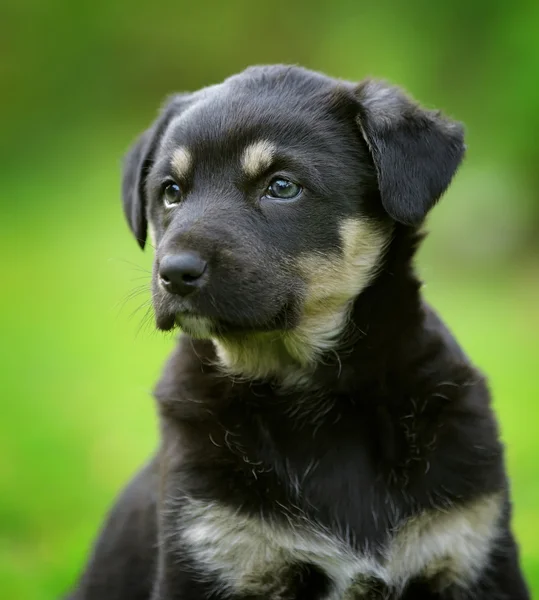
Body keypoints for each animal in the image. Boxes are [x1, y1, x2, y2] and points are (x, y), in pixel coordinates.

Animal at [66, 65, 528, 600]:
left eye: (282, 187)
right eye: (171, 192)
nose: (174, 273)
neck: (314, 396)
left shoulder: (474, 550)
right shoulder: (210, 546)